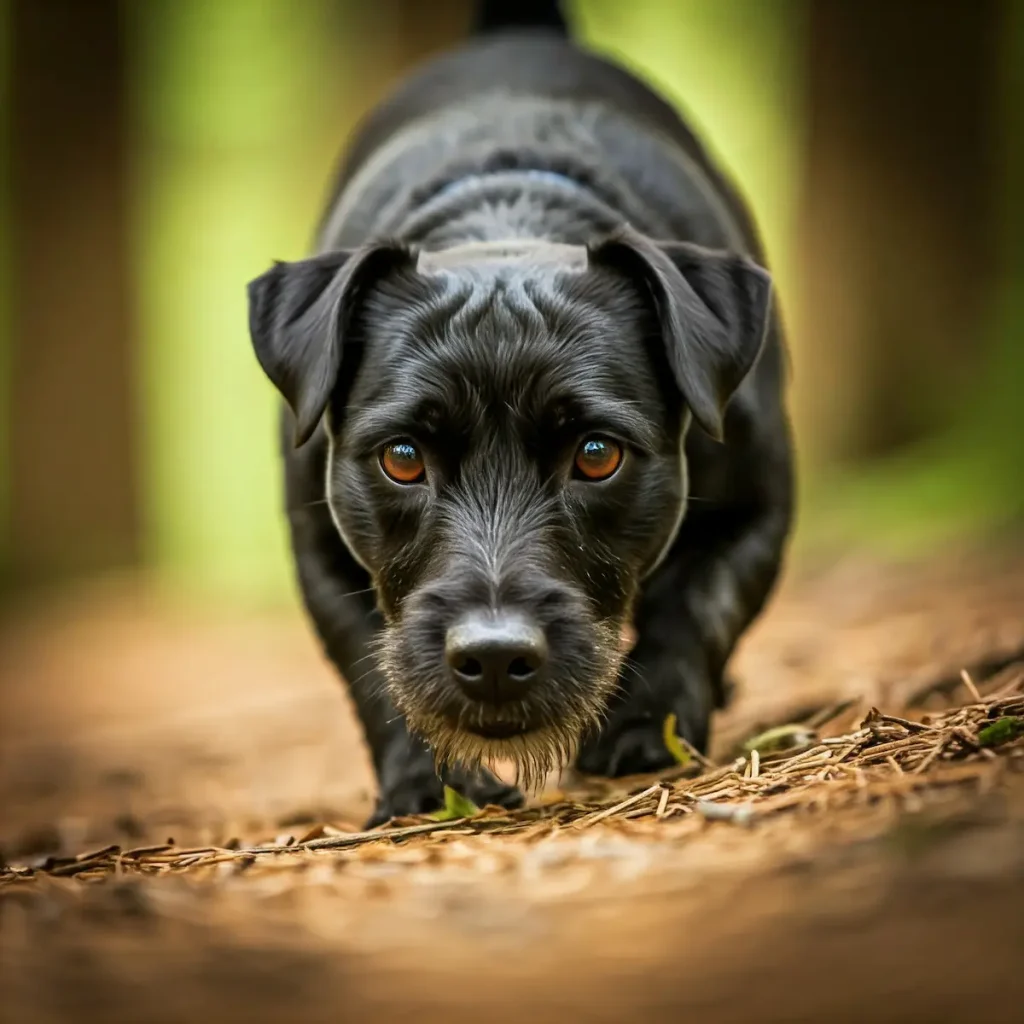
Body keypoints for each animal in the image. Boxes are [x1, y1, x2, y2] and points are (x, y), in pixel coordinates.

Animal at [245, 0, 790, 827]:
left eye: (597, 454)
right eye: (402, 457)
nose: (496, 656)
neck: (504, 226)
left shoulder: (755, 505)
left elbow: (695, 607)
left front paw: (643, 730)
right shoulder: (320, 542)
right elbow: (369, 665)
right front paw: (426, 784)